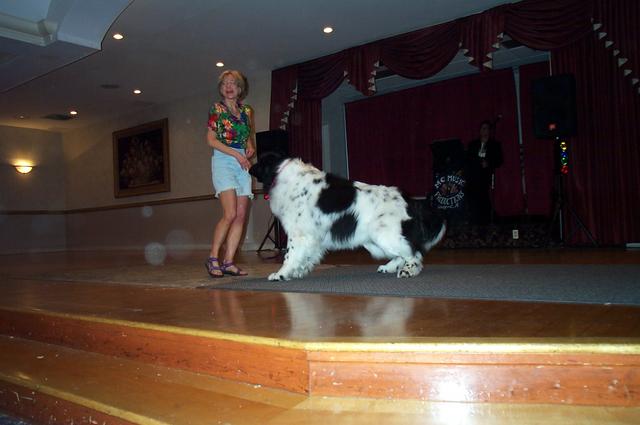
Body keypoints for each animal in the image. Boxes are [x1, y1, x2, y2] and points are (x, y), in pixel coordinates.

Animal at [249, 153, 446, 281]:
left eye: (260, 163)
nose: (249, 168)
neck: (282, 173)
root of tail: (407, 199)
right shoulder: (312, 236)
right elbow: (306, 256)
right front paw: (297, 272)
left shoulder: (298, 233)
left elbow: (290, 255)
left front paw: (281, 274)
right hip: (376, 241)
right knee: (405, 252)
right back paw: (388, 268)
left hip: (383, 234)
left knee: (414, 253)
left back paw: (407, 271)